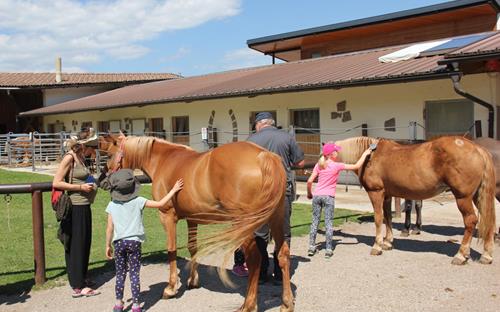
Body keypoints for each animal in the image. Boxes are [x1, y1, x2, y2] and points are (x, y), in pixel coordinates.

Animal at [98, 134, 292, 312]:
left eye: (109, 155)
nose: (103, 181)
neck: (164, 159)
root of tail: (264, 156)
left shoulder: (167, 216)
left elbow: (172, 250)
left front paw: (171, 288)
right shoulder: (192, 219)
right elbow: (193, 247)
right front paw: (193, 281)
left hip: (243, 224)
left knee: (254, 259)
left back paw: (248, 305)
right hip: (276, 218)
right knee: (282, 254)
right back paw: (287, 304)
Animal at [336, 136, 496, 264]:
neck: (370, 156)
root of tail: (478, 149)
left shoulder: (376, 193)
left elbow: (378, 218)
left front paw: (377, 246)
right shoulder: (387, 195)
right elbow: (388, 217)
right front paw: (387, 242)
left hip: (463, 198)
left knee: (470, 221)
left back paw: (461, 255)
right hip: (477, 197)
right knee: (488, 220)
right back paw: (486, 256)